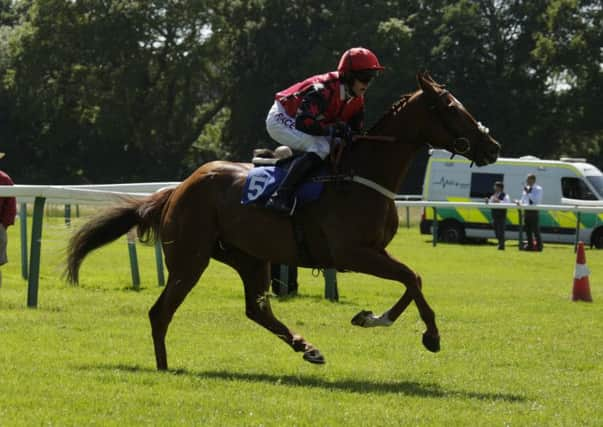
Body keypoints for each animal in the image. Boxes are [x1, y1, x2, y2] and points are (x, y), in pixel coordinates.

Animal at [66, 72, 500, 372]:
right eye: (451, 109)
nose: (492, 146)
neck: (361, 174)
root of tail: (178, 189)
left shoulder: (375, 251)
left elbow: (413, 281)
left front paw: (373, 318)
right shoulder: (352, 253)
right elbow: (412, 277)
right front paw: (427, 334)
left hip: (248, 256)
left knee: (256, 310)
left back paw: (308, 348)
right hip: (191, 258)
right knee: (160, 312)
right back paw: (163, 366)